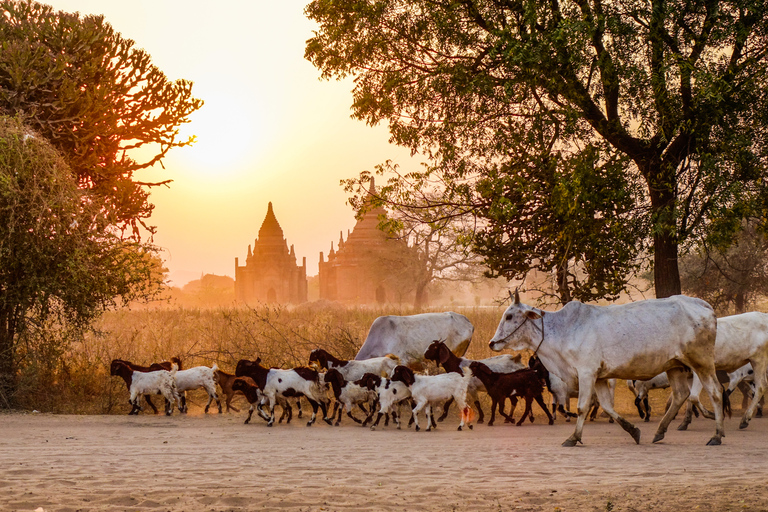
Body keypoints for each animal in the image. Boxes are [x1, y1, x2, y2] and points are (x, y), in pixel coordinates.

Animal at [488, 294, 724, 446]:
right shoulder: (600, 377)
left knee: (715, 392)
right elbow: (607, 407)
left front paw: (573, 438)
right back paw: (659, 432)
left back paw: (717, 435)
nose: (492, 343)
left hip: (701, 362)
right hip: (674, 366)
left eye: (509, 316)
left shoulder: (586, 373)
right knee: (681, 395)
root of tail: (704, 305)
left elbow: (582, 407)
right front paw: (633, 431)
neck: (563, 330)